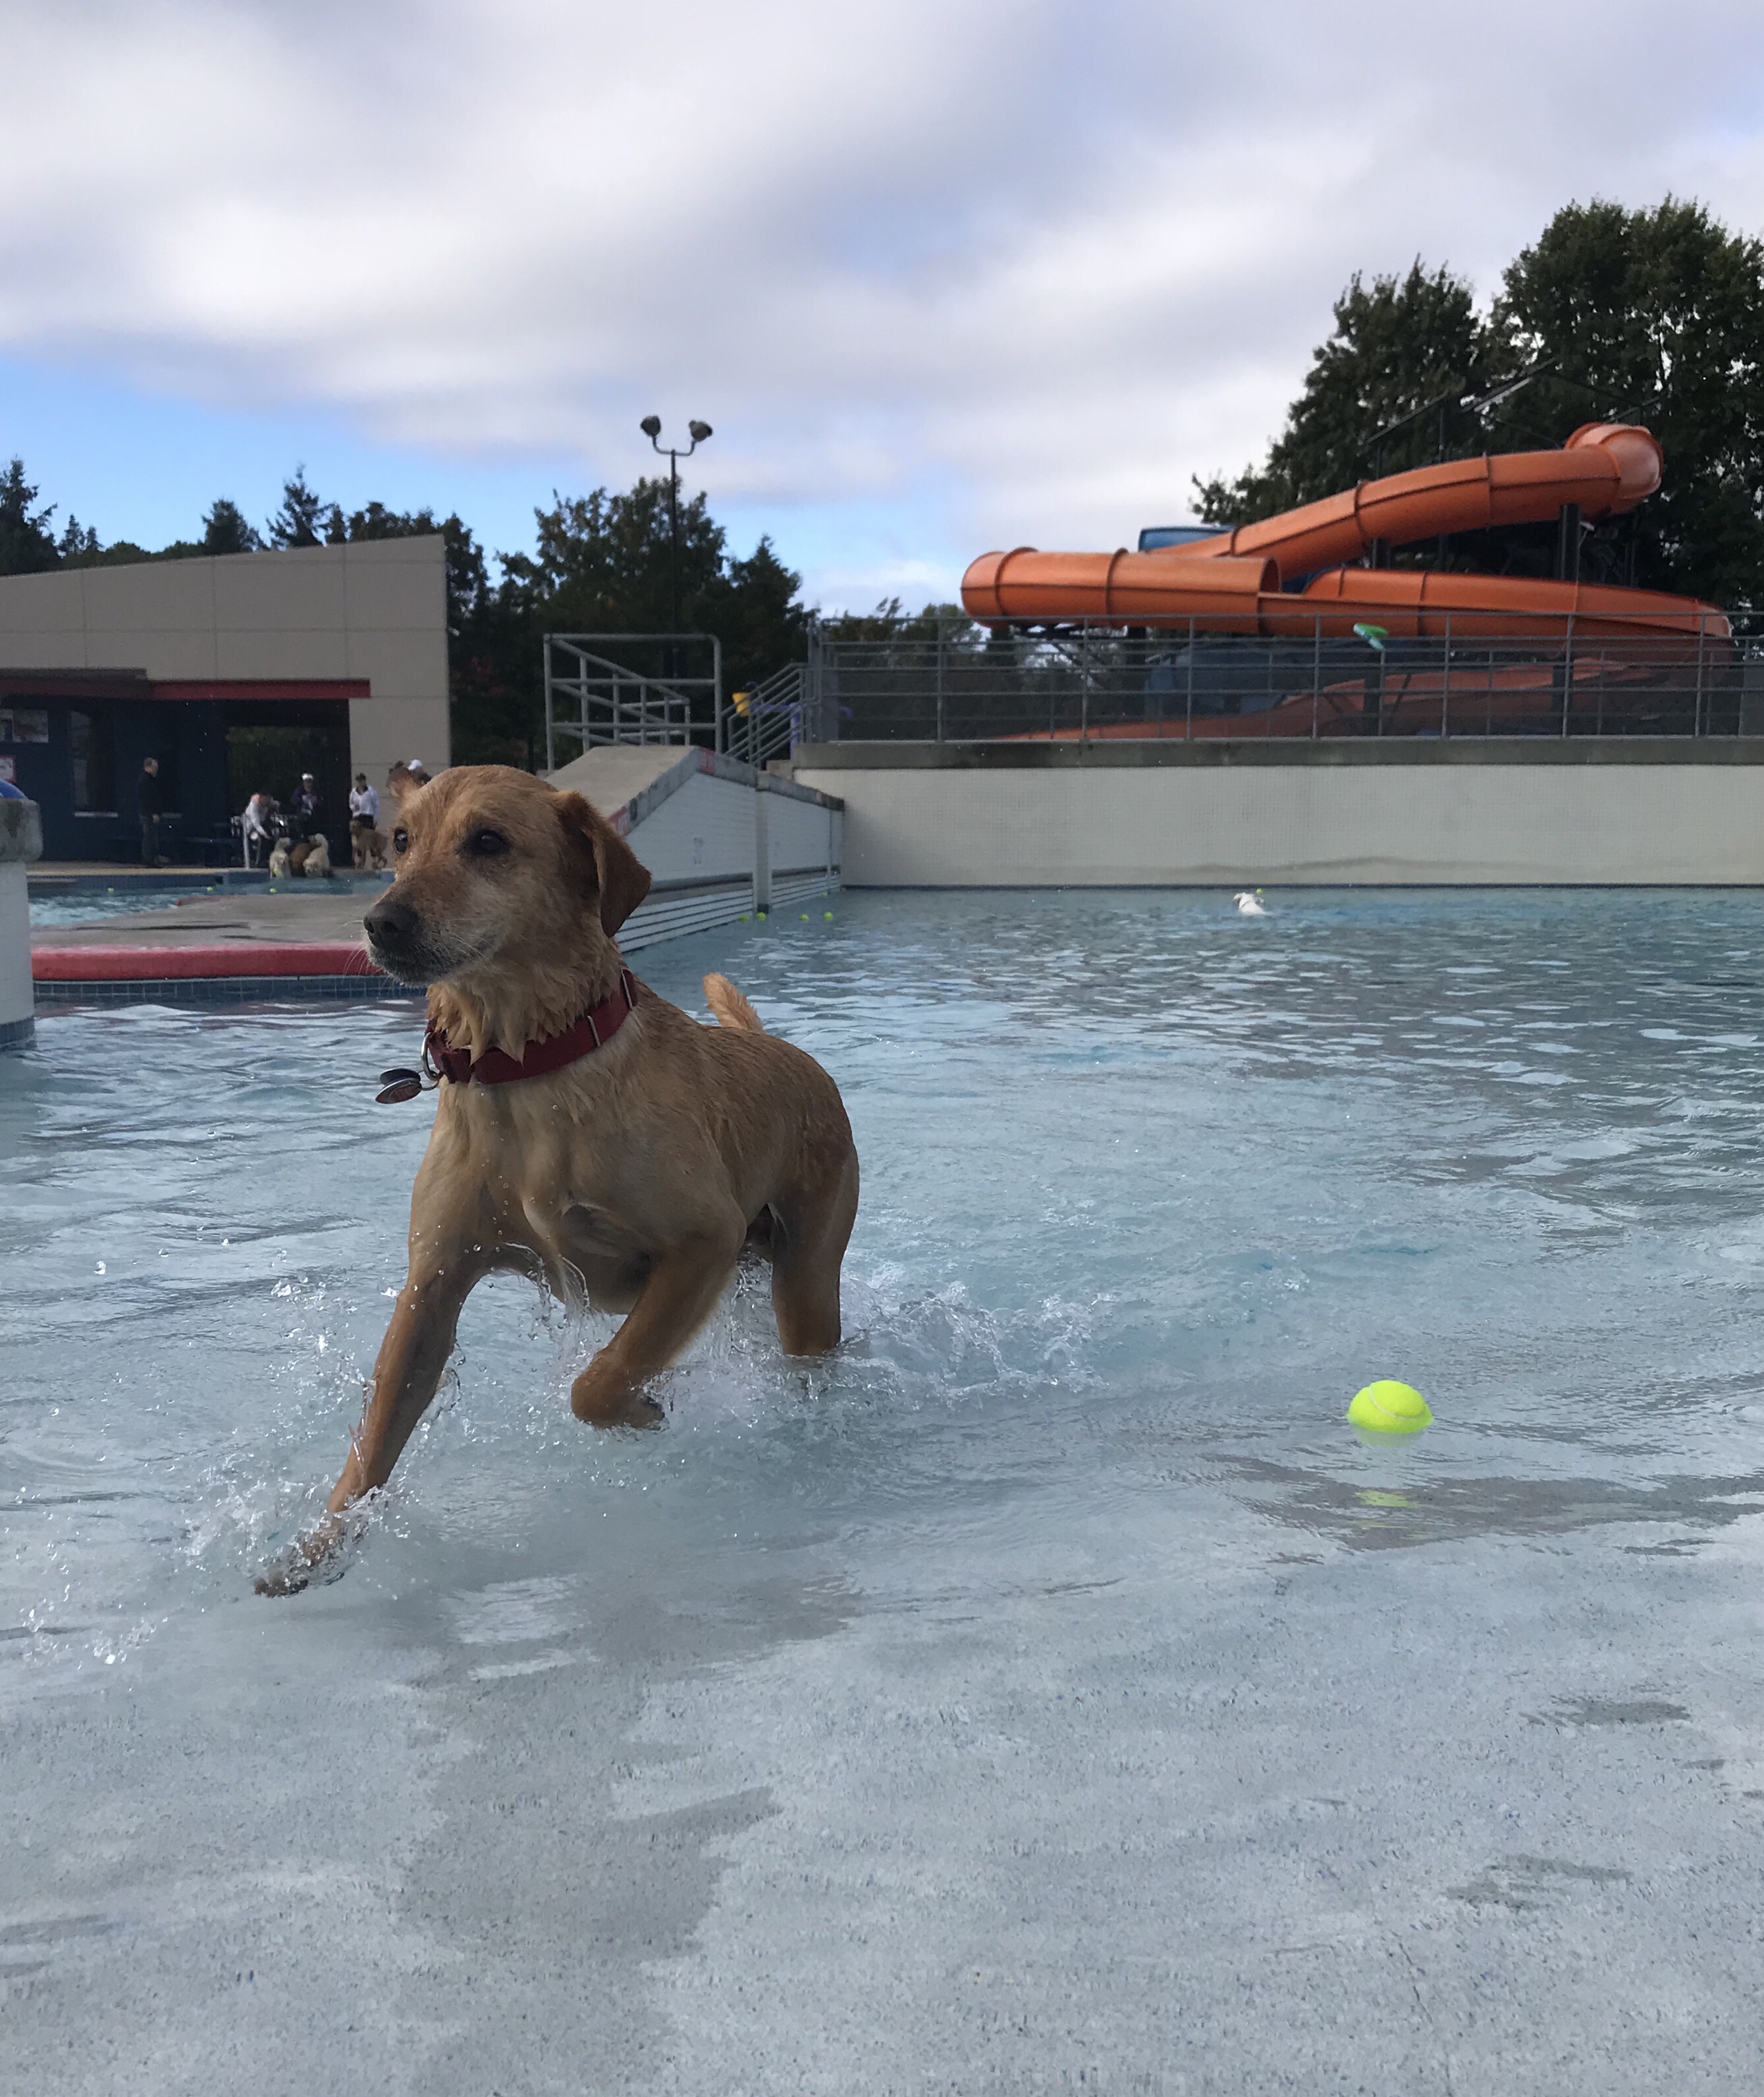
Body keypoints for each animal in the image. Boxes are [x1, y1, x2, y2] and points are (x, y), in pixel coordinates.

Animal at [258, 764, 859, 1593]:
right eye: (402, 840)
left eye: (488, 841)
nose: (381, 922)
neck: (525, 1067)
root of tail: (790, 1054)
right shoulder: (433, 1282)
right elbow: (374, 1436)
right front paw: (317, 1544)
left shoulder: (702, 1241)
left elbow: (595, 1383)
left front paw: (642, 1410)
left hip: (805, 1282)